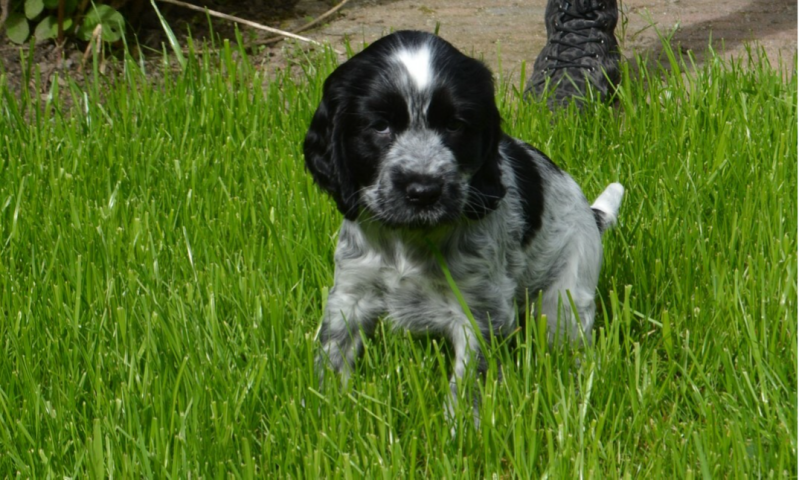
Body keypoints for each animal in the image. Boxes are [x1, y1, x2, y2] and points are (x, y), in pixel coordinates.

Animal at [304, 30, 623, 416]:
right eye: (380, 126)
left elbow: (470, 381)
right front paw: (326, 411)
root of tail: (590, 214)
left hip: (566, 296)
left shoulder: (480, 311)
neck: (409, 239)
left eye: (455, 125)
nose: (424, 190)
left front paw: (459, 428)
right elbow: (332, 354)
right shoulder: (350, 293)